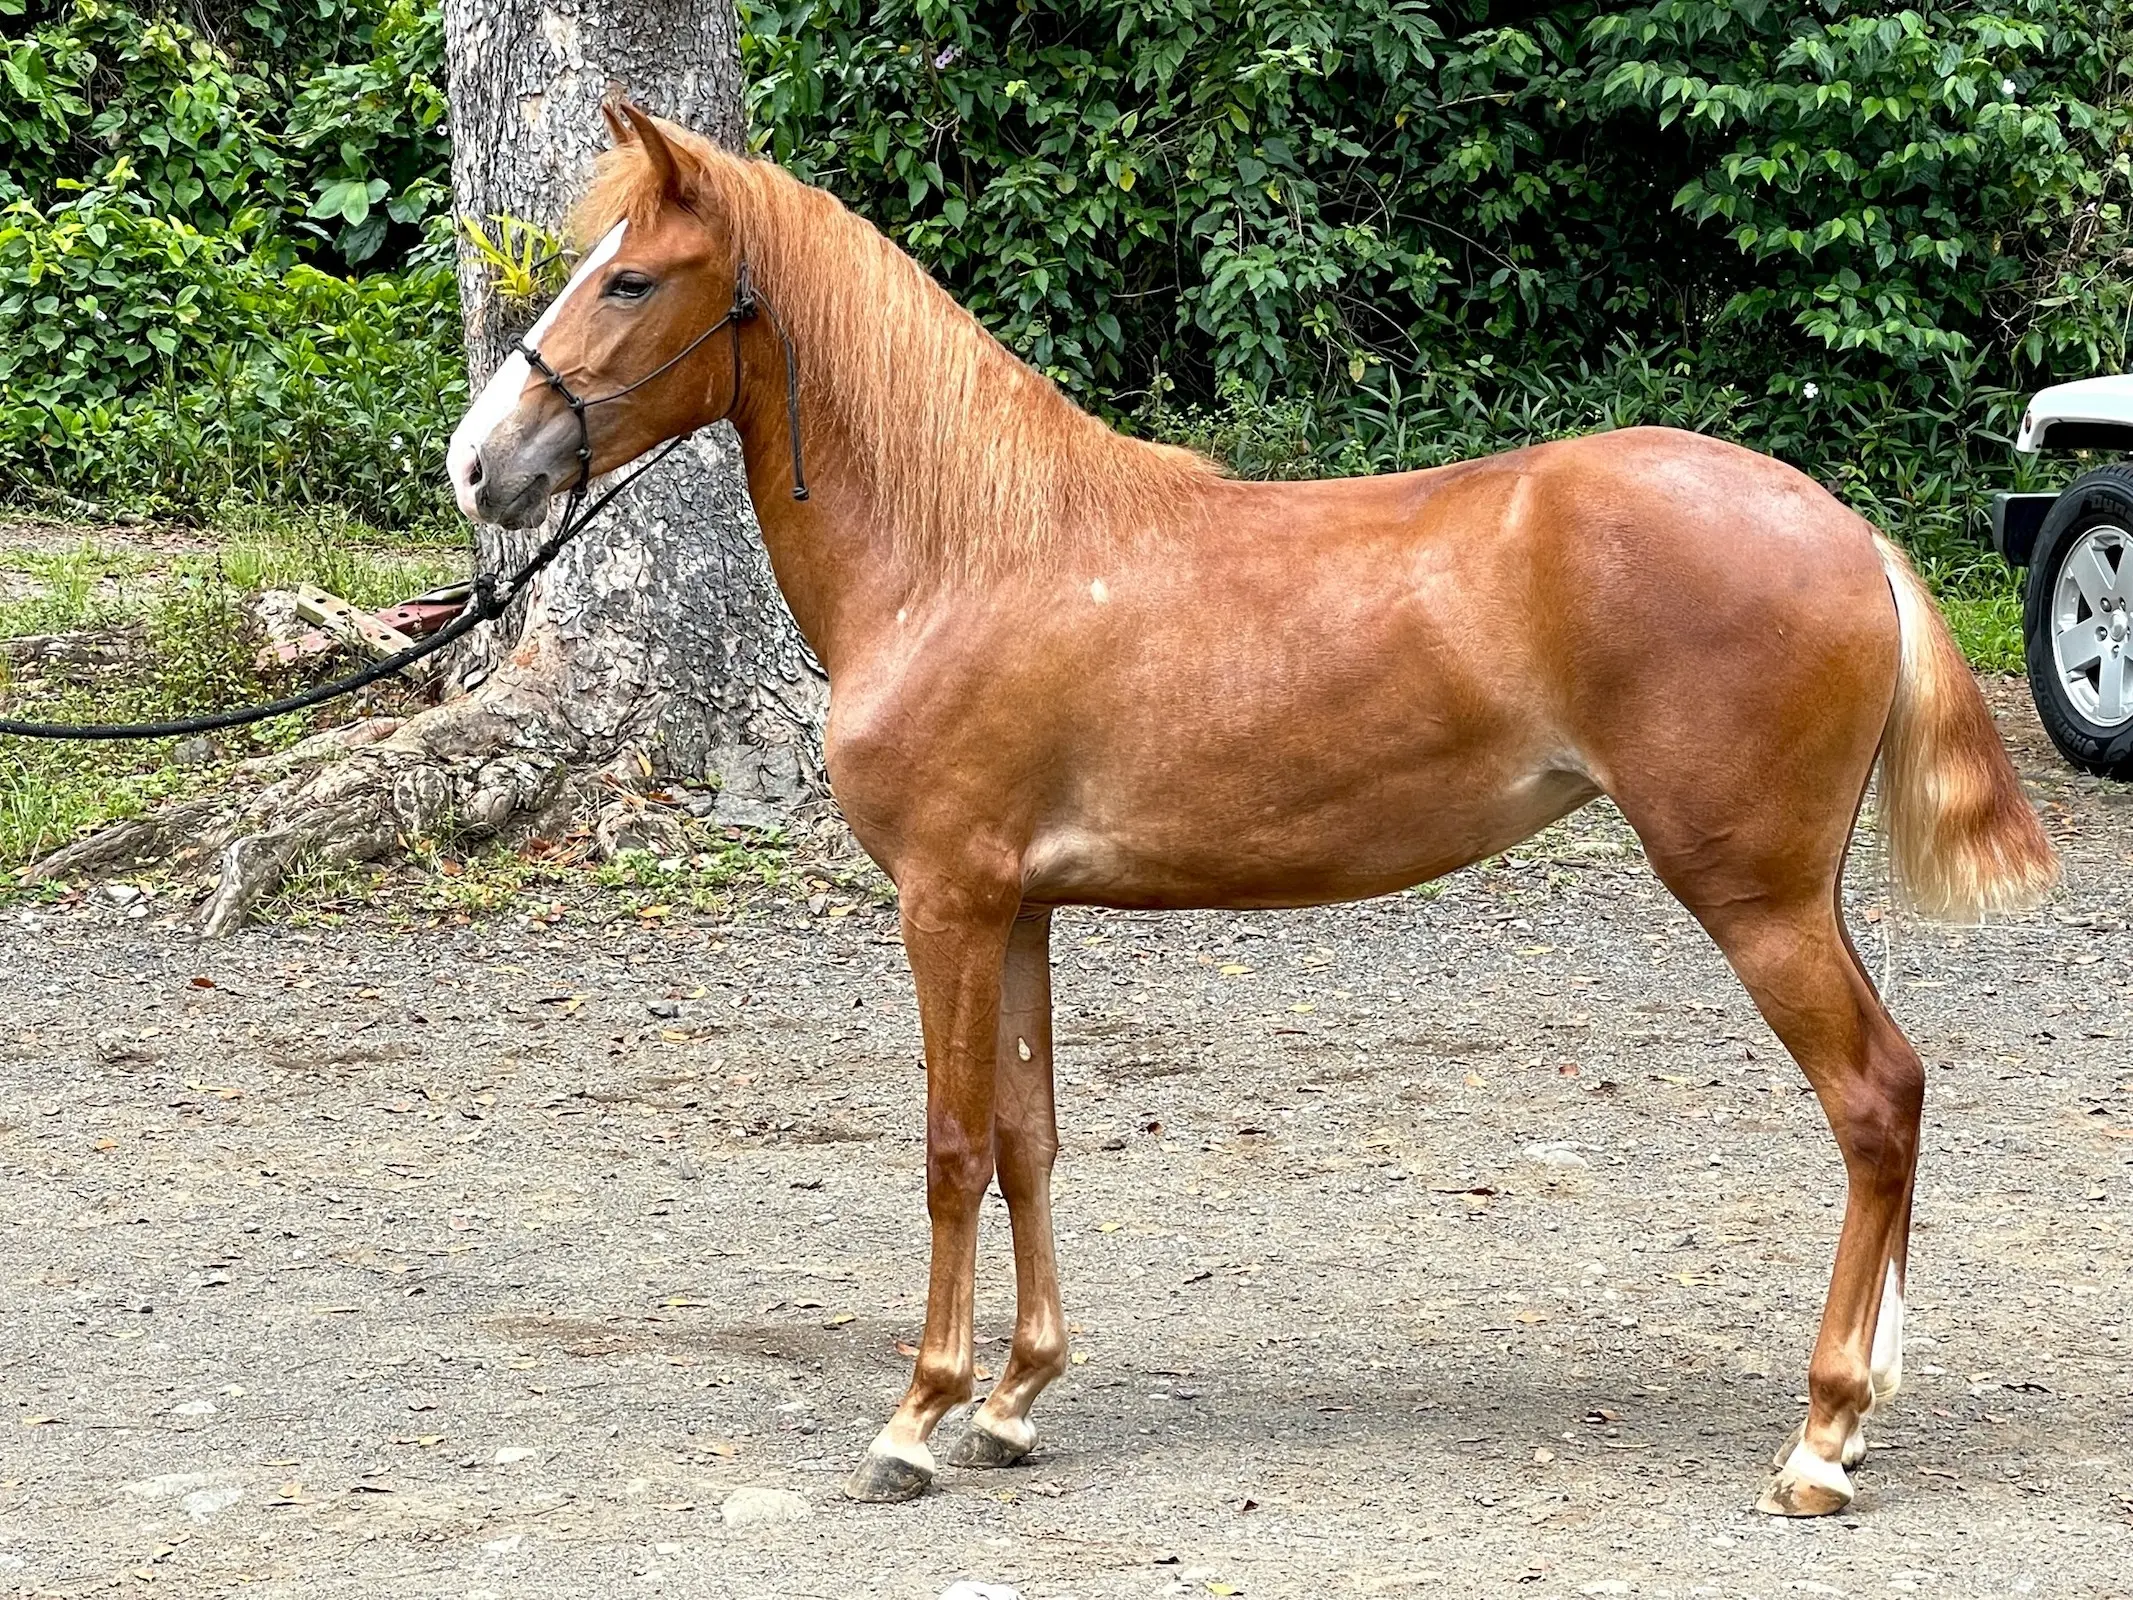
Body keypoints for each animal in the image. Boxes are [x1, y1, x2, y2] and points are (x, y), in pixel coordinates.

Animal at [441, 106, 2056, 1518]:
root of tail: (1845, 529)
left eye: (631, 277)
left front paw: (916, 1416)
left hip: (1753, 897)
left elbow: (952, 1147)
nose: (477, 466)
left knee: (1872, 1102)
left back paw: (1822, 1439)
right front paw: (1015, 1399)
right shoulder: (1017, 907)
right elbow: (1027, 1137)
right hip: (1797, 894)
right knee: (1899, 1098)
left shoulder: (945, 899)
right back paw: (1863, 1408)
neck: (965, 552)